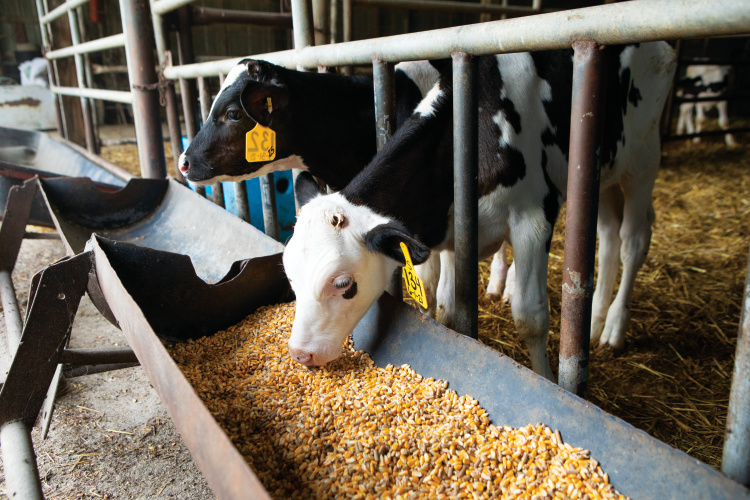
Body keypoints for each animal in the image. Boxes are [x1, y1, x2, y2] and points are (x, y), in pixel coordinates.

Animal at [282, 42, 677, 382]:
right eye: (289, 275)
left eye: (343, 284)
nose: (299, 354)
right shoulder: (453, 232)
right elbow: (446, 306)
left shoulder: (533, 218)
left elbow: (531, 317)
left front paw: (548, 380)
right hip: (605, 172)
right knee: (609, 237)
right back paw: (594, 321)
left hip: (644, 156)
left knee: (633, 240)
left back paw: (614, 328)